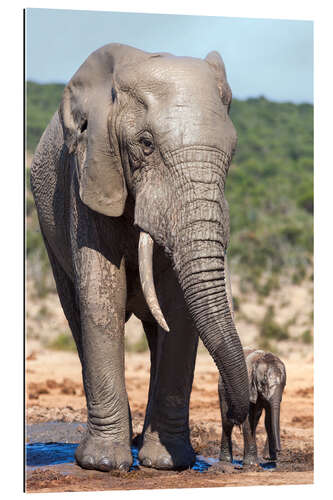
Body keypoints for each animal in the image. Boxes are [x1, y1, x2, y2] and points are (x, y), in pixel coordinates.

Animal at [31, 44, 248, 472]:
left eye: (232, 152)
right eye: (145, 144)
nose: (238, 412)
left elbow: (178, 308)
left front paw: (166, 463)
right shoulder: (89, 174)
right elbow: (101, 296)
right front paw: (102, 464)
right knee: (76, 313)